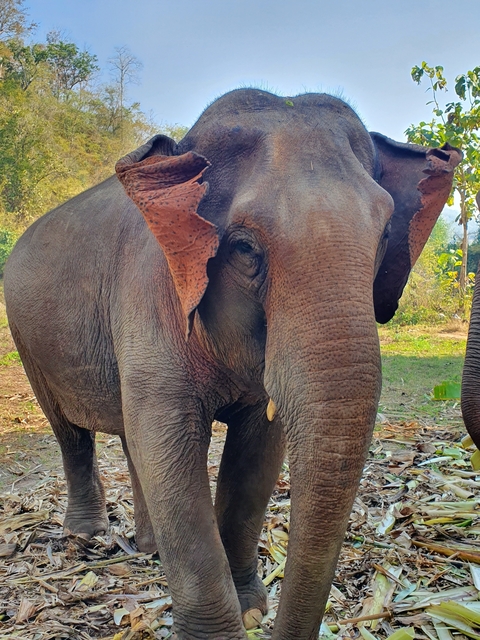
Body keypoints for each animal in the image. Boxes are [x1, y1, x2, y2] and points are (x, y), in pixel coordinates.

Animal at [4, 89, 460, 640]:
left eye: (386, 234)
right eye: (244, 248)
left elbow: (256, 453)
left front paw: (251, 612)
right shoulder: (149, 292)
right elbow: (168, 447)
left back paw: (149, 547)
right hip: (26, 335)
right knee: (69, 430)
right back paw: (88, 537)